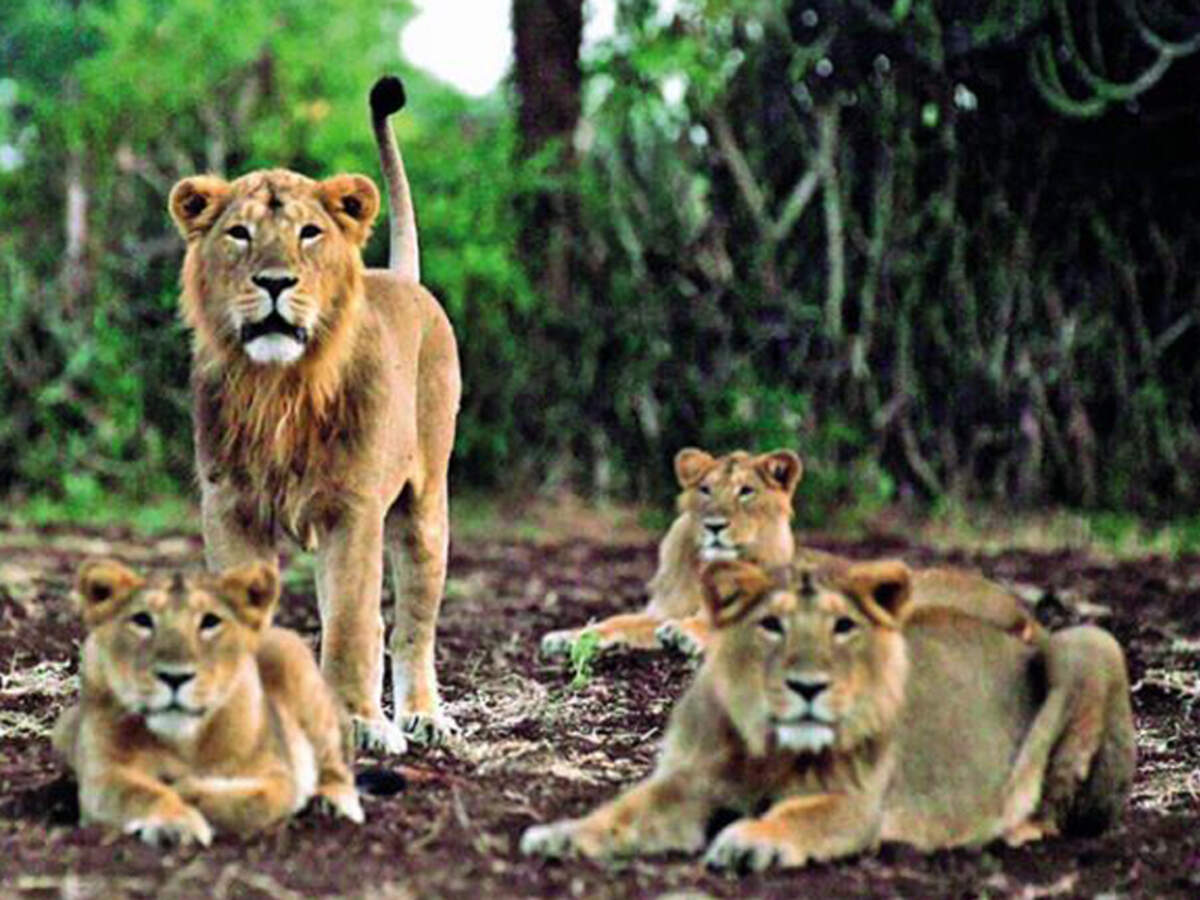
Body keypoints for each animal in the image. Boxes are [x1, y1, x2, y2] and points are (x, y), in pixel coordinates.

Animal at [53, 559, 363, 846]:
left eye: (210, 621)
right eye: (142, 620)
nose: (174, 677)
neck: (183, 740)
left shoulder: (278, 776)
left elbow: (252, 802)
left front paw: (186, 789)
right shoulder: (102, 774)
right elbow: (140, 793)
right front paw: (175, 823)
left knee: (336, 765)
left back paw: (333, 802)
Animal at [167, 76, 460, 754]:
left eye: (308, 233)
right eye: (239, 233)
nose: (275, 282)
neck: (278, 388)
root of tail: (403, 279)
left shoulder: (353, 510)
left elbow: (352, 624)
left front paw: (358, 724)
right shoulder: (229, 507)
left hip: (424, 510)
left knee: (410, 624)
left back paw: (422, 716)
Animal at [522, 558, 1135, 870]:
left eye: (843, 629)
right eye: (771, 626)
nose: (808, 686)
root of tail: (1028, 615)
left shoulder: (856, 805)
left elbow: (800, 816)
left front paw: (751, 839)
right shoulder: (689, 781)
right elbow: (625, 810)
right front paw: (563, 835)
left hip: (1088, 644)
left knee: (1059, 802)